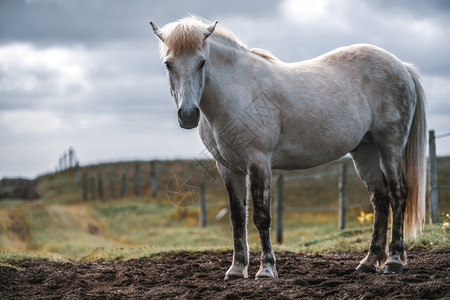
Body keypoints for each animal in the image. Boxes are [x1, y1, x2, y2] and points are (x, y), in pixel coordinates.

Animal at [150, 16, 426, 278]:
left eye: (202, 62)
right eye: (168, 64)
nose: (188, 115)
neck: (238, 92)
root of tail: (401, 66)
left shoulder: (258, 162)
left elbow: (262, 217)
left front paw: (266, 269)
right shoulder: (228, 168)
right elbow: (237, 218)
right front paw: (237, 269)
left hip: (390, 144)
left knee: (398, 194)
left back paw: (393, 262)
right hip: (365, 151)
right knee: (380, 199)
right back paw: (368, 262)